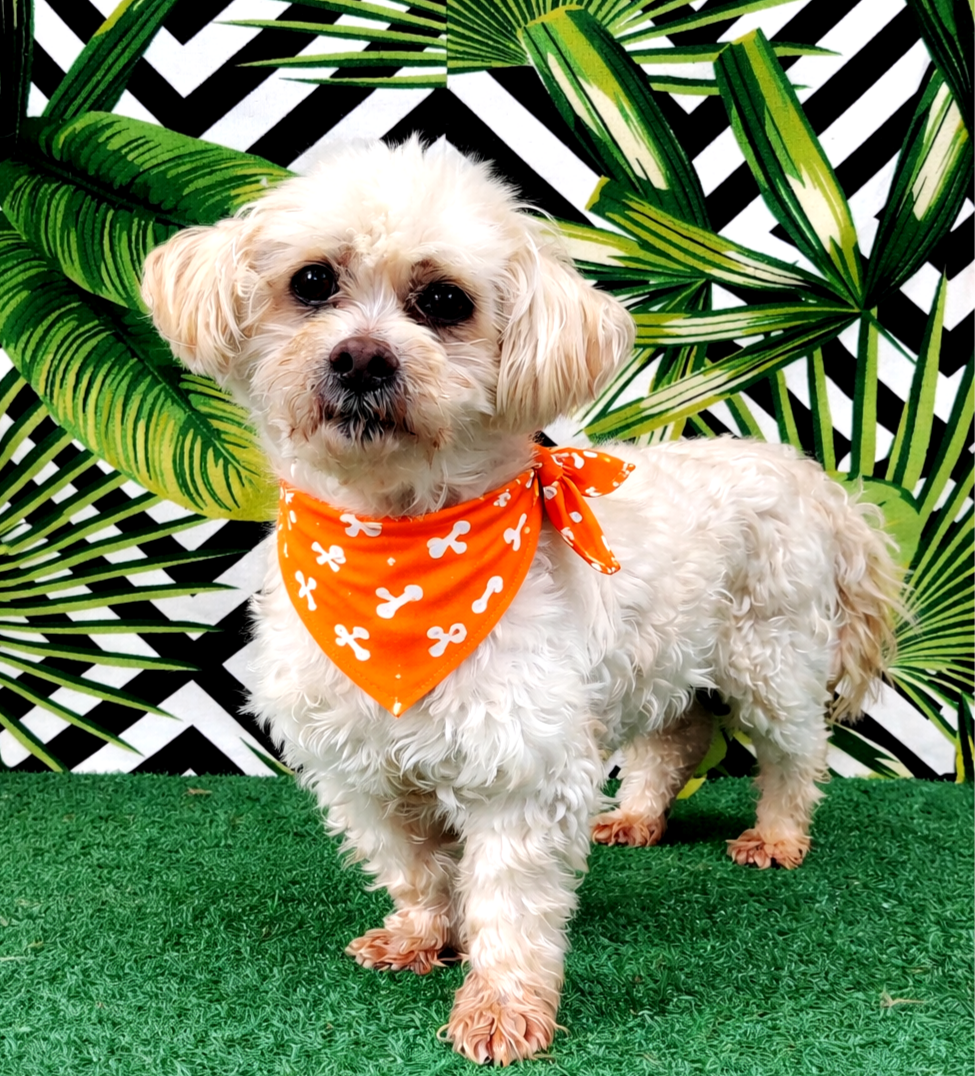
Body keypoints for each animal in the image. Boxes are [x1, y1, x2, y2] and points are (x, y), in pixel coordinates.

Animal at [141, 137, 901, 1066]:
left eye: (444, 301)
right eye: (312, 281)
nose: (360, 358)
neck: (395, 557)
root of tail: (811, 478)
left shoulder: (523, 765)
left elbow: (507, 900)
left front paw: (501, 1008)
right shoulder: (357, 764)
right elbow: (416, 866)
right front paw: (419, 936)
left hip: (772, 658)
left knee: (797, 753)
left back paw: (778, 836)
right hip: (655, 663)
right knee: (672, 740)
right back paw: (636, 817)